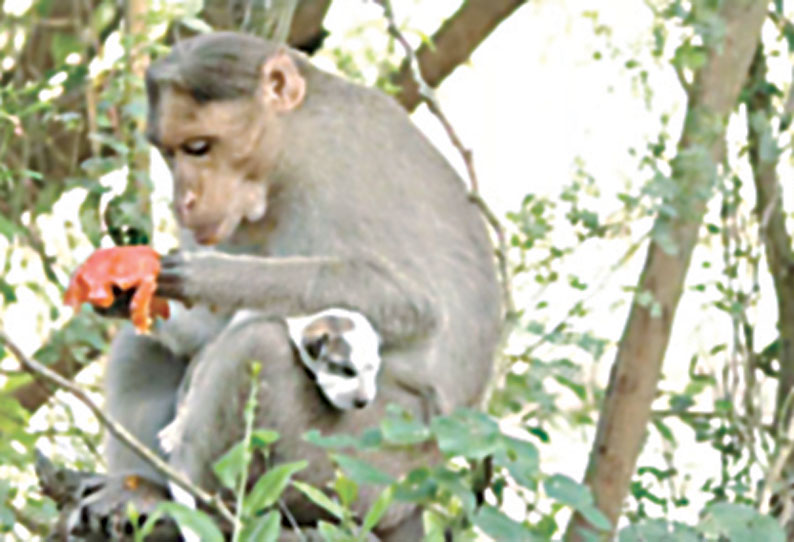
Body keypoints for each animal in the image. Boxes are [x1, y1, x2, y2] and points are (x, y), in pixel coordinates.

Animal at [74, 31, 498, 540]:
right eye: (168, 153)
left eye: (198, 147)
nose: (183, 201)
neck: (284, 155)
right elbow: (202, 330)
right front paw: (132, 293)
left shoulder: (337, 170)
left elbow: (411, 304)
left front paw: (212, 275)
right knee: (144, 346)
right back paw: (139, 490)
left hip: (365, 468)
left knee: (257, 346)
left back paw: (208, 511)